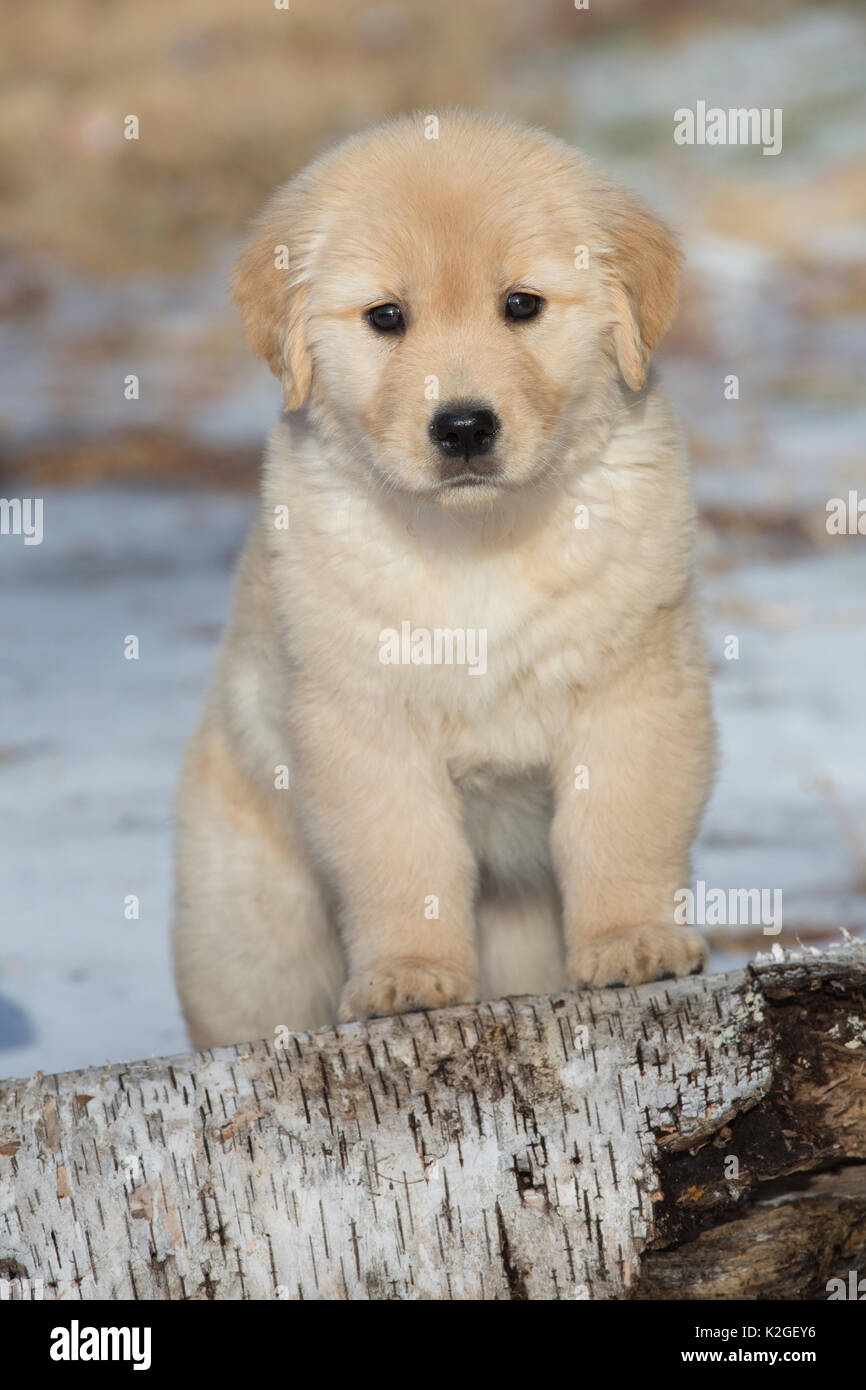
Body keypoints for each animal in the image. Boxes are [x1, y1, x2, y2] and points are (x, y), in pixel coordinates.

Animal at [173, 108, 717, 1045]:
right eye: (386, 316)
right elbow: (403, 862)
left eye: (522, 305)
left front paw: (633, 940)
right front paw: (410, 974)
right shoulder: (364, 721)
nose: (463, 427)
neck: (478, 540)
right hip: (251, 927)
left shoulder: (634, 686)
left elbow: (620, 828)